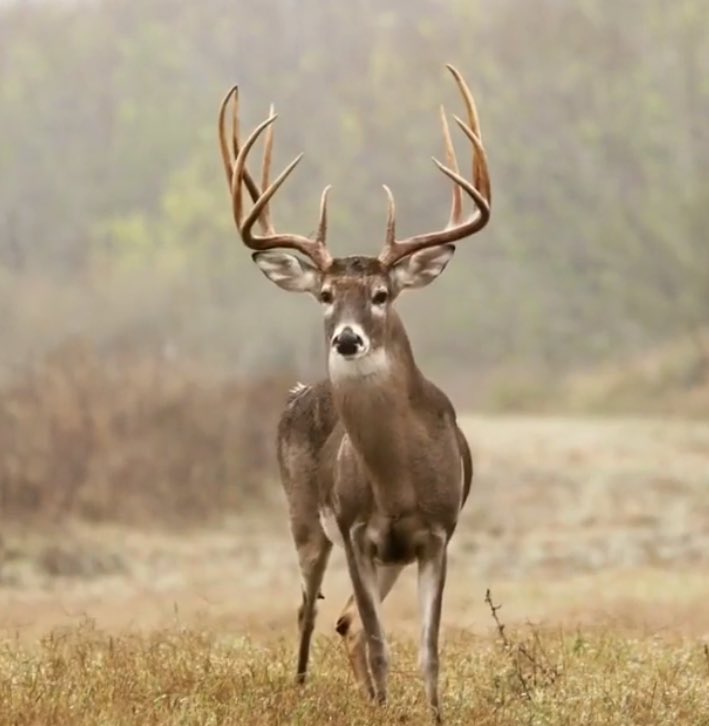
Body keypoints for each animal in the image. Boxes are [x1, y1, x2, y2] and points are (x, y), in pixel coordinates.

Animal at [218, 64, 491, 722]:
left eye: (382, 294)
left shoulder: (438, 533)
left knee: (342, 621)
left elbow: (427, 650)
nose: (347, 338)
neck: (398, 483)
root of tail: (299, 393)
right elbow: (380, 639)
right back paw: (299, 689)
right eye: (324, 295)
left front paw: (431, 712)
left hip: (384, 554)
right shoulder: (354, 529)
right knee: (311, 609)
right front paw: (383, 704)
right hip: (305, 516)